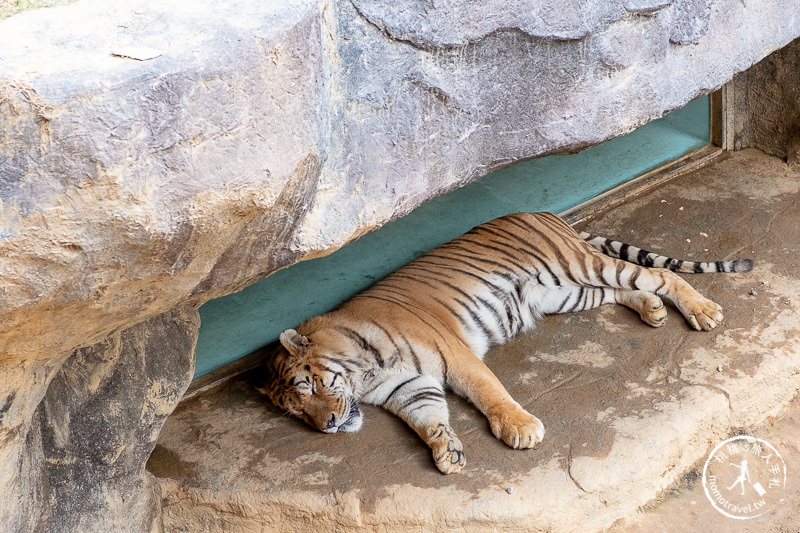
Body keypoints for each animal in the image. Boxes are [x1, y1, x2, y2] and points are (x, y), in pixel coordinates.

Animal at [260, 210, 752, 472]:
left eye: (311, 387)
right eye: (296, 412)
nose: (327, 426)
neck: (363, 376)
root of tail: (544, 212)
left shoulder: (455, 356)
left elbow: (489, 392)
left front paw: (519, 429)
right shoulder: (409, 388)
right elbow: (428, 418)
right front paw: (447, 452)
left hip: (580, 266)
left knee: (659, 275)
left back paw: (703, 311)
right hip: (564, 293)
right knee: (621, 292)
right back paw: (651, 311)